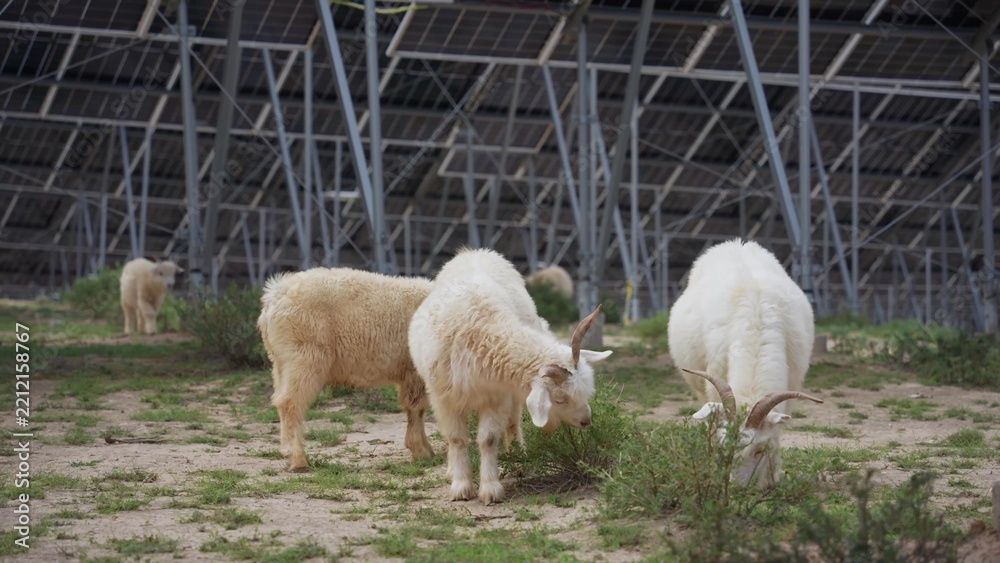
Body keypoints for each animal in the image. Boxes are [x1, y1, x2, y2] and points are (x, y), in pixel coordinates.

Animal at [257, 267, 435, 472]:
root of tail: (275, 296)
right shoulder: (416, 371)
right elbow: (416, 408)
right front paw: (421, 451)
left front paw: (426, 449)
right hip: (304, 356)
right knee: (290, 402)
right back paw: (297, 459)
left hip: (281, 362)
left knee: (280, 399)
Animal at [408, 248, 611, 504]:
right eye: (560, 400)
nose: (586, 421)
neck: (479, 331)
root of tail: (474, 251)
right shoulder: (445, 397)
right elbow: (456, 438)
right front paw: (461, 486)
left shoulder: (496, 396)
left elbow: (488, 439)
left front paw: (490, 488)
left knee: (513, 421)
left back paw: (517, 460)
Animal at [666, 238, 823, 488]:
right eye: (723, 447)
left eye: (759, 451)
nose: (736, 489)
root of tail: (736, 244)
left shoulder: (792, 385)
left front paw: (773, 477)